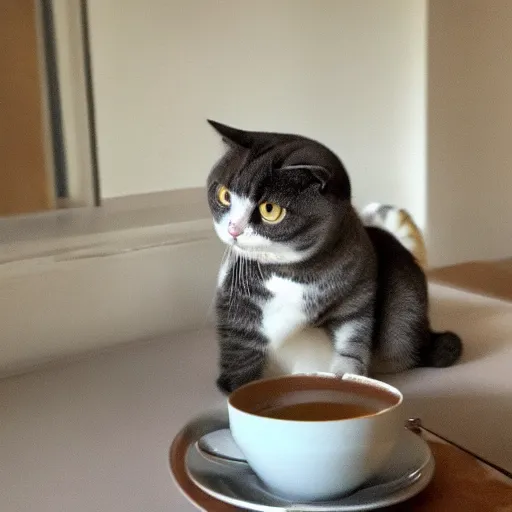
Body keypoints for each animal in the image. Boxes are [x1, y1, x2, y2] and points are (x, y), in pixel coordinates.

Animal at [206, 119, 462, 392]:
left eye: (270, 210)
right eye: (224, 195)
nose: (233, 229)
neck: (292, 272)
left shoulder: (360, 294)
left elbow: (353, 342)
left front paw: (346, 379)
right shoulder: (235, 293)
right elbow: (239, 347)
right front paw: (236, 391)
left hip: (404, 318)